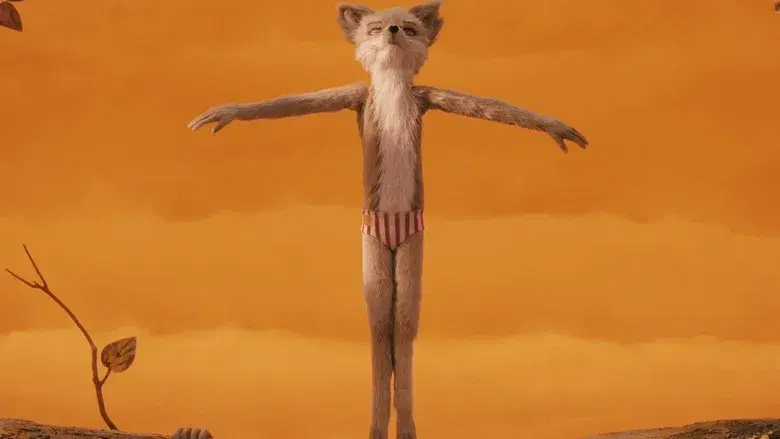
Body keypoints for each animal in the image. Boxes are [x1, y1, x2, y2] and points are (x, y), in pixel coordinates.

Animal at [182, 2, 587, 439]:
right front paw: (227, 112)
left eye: (407, 27)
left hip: (411, 245)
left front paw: (556, 127)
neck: (392, 83)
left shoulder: (427, 97)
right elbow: (292, 102)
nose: (392, 30)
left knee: (403, 328)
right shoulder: (359, 96)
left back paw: (405, 426)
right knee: (379, 328)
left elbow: (490, 107)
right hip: (374, 244)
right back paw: (378, 426)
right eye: (375, 28)